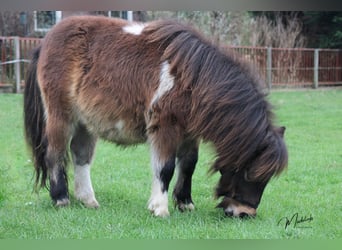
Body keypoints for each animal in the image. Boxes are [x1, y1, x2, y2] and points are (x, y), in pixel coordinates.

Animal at [22, 15, 288, 218]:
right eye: (249, 173)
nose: (244, 213)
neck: (194, 78)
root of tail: (45, 41)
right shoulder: (166, 127)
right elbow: (166, 168)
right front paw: (159, 208)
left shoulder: (189, 132)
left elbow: (188, 164)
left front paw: (185, 203)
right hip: (61, 117)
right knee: (55, 154)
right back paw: (61, 199)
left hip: (85, 123)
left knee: (81, 156)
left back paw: (88, 200)